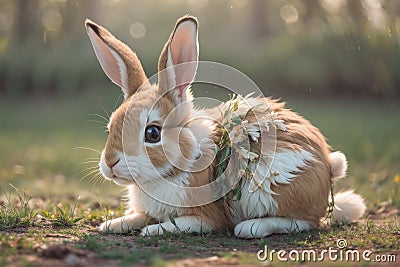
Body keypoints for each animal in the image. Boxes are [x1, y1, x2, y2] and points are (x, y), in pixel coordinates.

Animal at [85, 15, 366, 239]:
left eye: (152, 133)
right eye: (111, 126)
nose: (110, 163)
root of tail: (328, 168)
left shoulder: (208, 217)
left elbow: (182, 223)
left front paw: (152, 230)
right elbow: (139, 216)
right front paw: (113, 224)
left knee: (305, 221)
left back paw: (252, 228)